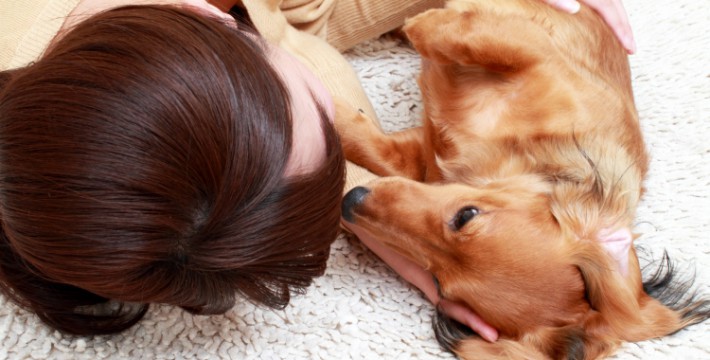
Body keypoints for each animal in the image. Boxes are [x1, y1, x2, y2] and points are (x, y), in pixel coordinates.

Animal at [340, 0, 710, 358]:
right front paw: (422, 24)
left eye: (439, 283)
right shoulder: (534, 52)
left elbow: (368, 146)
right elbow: (465, 37)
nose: (349, 201)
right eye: (466, 215)